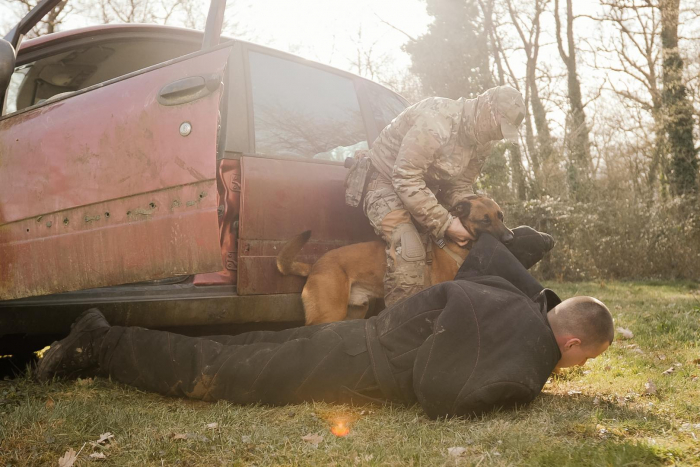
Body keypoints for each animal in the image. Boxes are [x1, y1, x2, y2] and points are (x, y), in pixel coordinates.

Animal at [278, 196, 516, 324]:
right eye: (485, 220)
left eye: (501, 216)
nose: (510, 238)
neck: (455, 245)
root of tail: (315, 265)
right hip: (329, 313)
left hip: (353, 312)